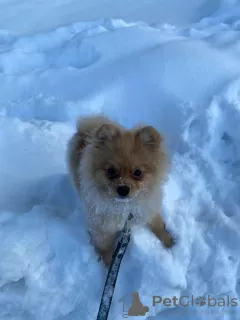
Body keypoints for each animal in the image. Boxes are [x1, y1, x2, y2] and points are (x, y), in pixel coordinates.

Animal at [67, 115, 174, 268]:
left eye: (138, 173)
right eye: (111, 171)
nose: (123, 188)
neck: (126, 208)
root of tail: (85, 129)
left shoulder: (148, 208)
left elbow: (158, 224)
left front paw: (169, 241)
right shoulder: (101, 230)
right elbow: (105, 249)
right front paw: (109, 265)